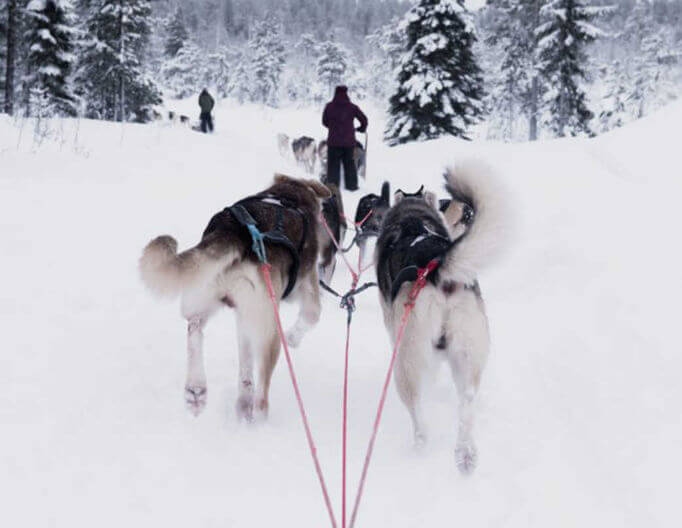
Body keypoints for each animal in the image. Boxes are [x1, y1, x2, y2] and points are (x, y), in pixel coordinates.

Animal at [138, 175, 330, 422]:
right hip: (269, 330)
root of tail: (233, 232)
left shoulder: (243, 316)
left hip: (206, 295)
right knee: (261, 393)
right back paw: (258, 419)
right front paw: (293, 337)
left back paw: (197, 390)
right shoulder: (307, 287)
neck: (288, 194)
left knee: (195, 329)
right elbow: (312, 315)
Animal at [374, 160, 508, 474]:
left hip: (406, 360)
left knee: (417, 410)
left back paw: (420, 445)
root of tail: (438, 270)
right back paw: (465, 453)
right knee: (467, 402)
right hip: (468, 353)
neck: (412, 218)